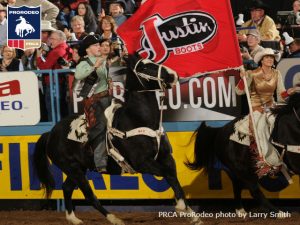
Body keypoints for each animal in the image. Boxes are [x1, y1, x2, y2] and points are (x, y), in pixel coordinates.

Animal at [34, 54, 203, 225]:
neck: (138, 120)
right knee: (89, 195)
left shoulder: (166, 157)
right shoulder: (143, 163)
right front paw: (182, 207)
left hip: (78, 168)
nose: (173, 75)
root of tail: (51, 133)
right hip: (72, 168)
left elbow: (173, 176)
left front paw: (191, 214)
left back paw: (74, 219)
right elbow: (167, 174)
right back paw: (114, 219)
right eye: (143, 67)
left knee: (67, 188)